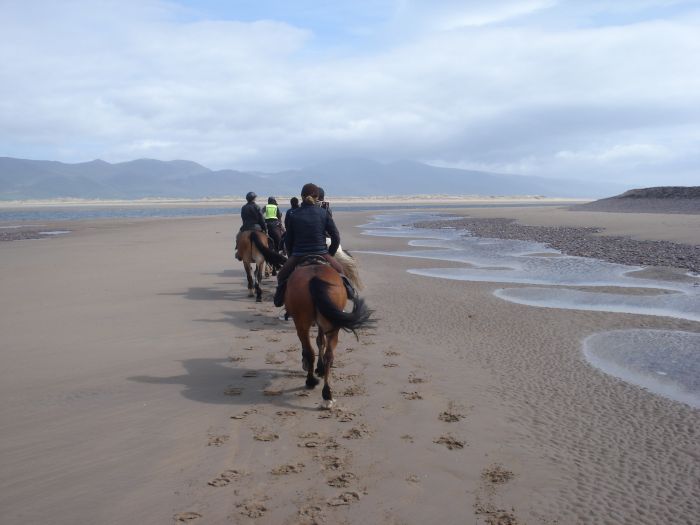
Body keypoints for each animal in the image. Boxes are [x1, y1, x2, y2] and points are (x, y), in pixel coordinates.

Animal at [282, 260, 374, 408]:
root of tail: (314, 277)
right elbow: (321, 341)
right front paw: (320, 368)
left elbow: (318, 342)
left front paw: (313, 367)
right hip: (332, 326)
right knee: (329, 354)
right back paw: (327, 394)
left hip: (302, 324)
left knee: (309, 351)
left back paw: (311, 381)